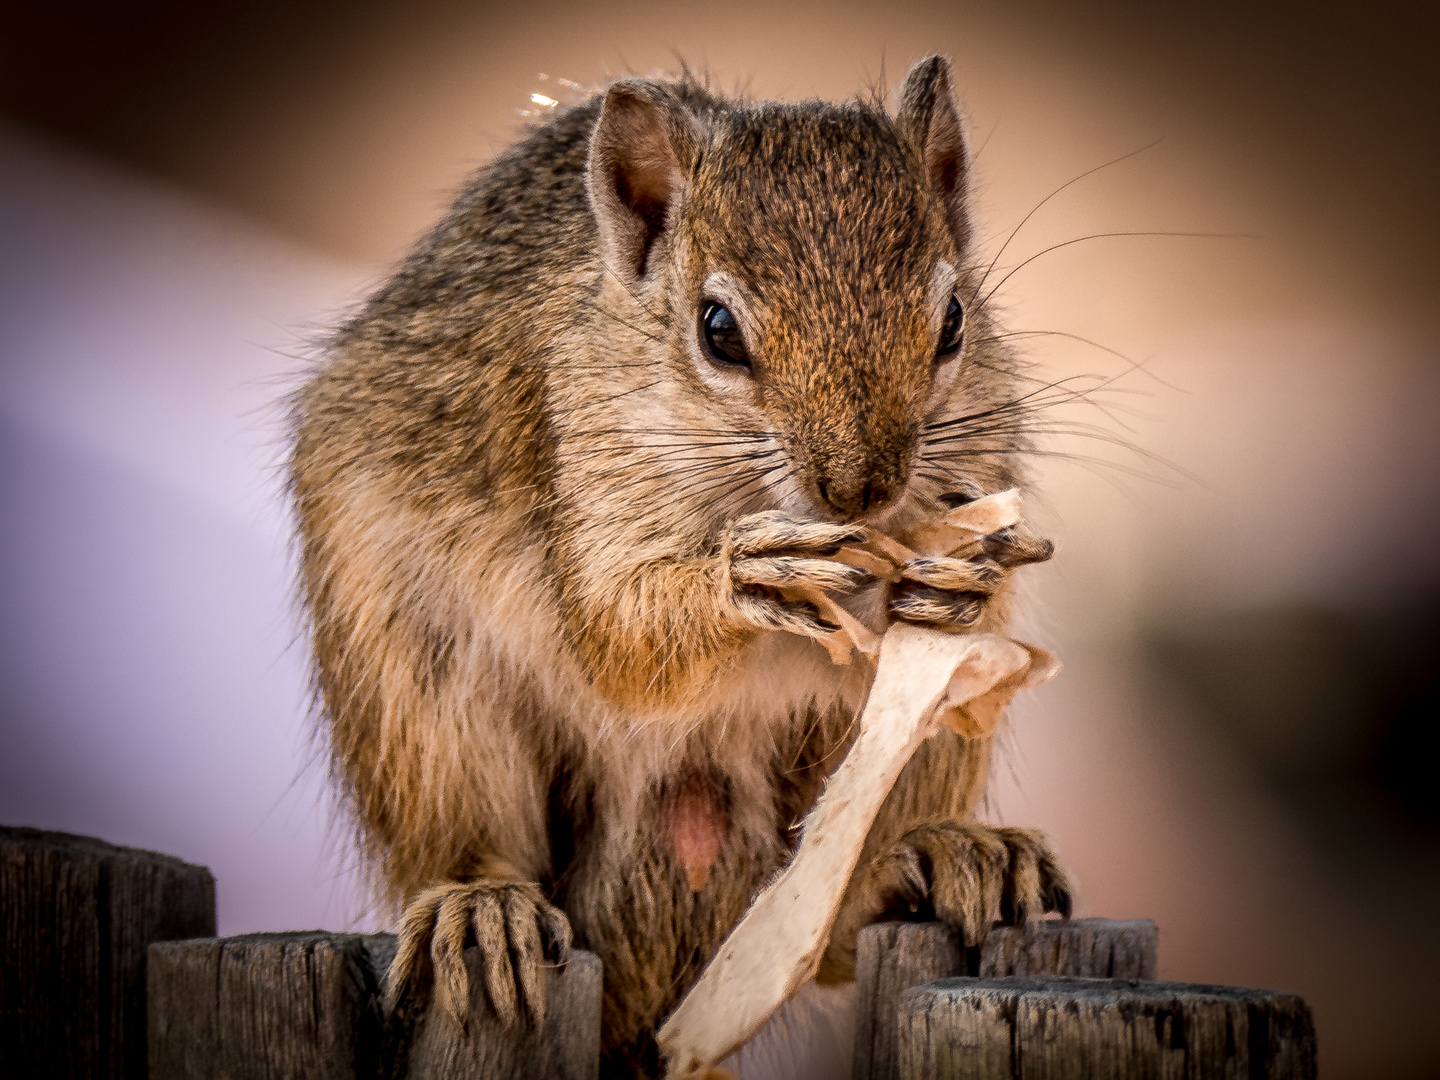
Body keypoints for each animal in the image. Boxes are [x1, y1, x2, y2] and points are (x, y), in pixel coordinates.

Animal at [286, 55, 1071, 1077]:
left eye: (952, 321)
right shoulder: (577, 453)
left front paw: (966, 580)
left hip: (904, 763)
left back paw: (947, 853)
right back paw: (482, 908)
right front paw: (749, 576)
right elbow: (620, 641)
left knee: (832, 928)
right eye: (717, 330)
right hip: (414, 690)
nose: (858, 490)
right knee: (464, 835)